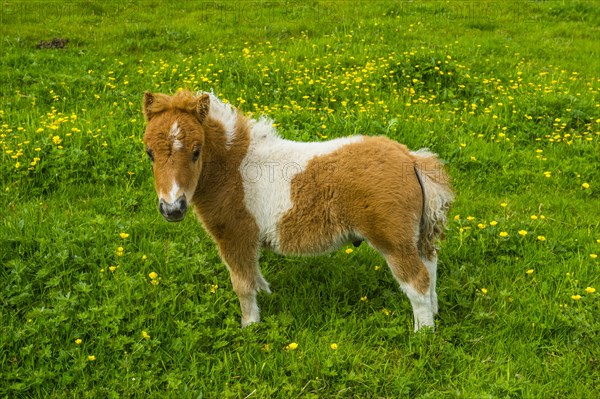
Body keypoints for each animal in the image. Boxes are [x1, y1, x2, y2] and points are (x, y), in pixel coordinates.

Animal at [143, 90, 452, 332]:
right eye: (149, 153)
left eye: (196, 151)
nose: (172, 208)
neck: (234, 168)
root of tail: (410, 158)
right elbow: (254, 276)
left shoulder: (234, 236)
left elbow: (242, 285)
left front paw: (250, 327)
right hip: (417, 236)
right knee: (431, 266)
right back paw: (435, 313)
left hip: (393, 242)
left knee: (417, 281)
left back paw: (422, 334)